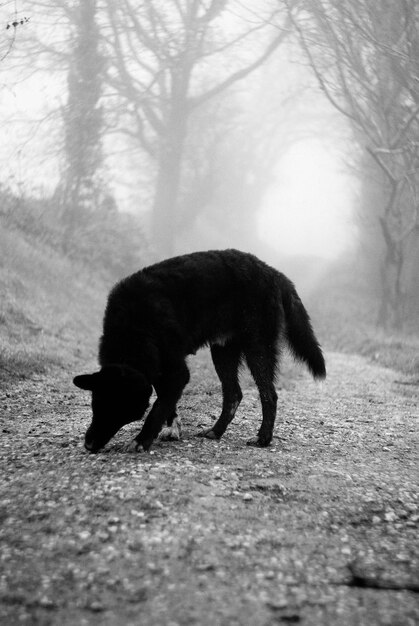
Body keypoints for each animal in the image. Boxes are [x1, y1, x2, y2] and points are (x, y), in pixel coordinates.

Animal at [74, 247, 326, 448]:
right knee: (233, 394)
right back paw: (216, 431)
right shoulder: (162, 370)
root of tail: (273, 272)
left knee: (268, 395)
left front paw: (141, 440)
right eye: (95, 406)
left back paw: (263, 438)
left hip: (257, 349)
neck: (133, 327)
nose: (88, 445)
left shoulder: (177, 372)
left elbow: (158, 407)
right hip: (223, 353)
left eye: (116, 408)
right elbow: (166, 402)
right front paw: (172, 429)